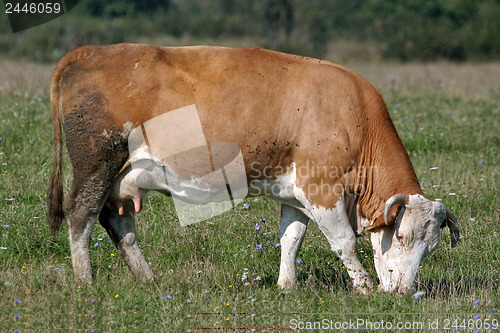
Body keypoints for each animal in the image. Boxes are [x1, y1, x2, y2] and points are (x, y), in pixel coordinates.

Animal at [48, 43, 458, 294]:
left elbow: (291, 238)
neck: (355, 119)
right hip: (96, 163)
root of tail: (91, 50)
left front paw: (286, 286)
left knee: (118, 222)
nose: (403, 292)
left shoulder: (294, 195)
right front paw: (365, 288)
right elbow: (344, 242)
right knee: (80, 215)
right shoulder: (321, 189)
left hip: (122, 176)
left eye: (432, 248)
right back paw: (85, 281)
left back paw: (148, 279)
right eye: (400, 236)